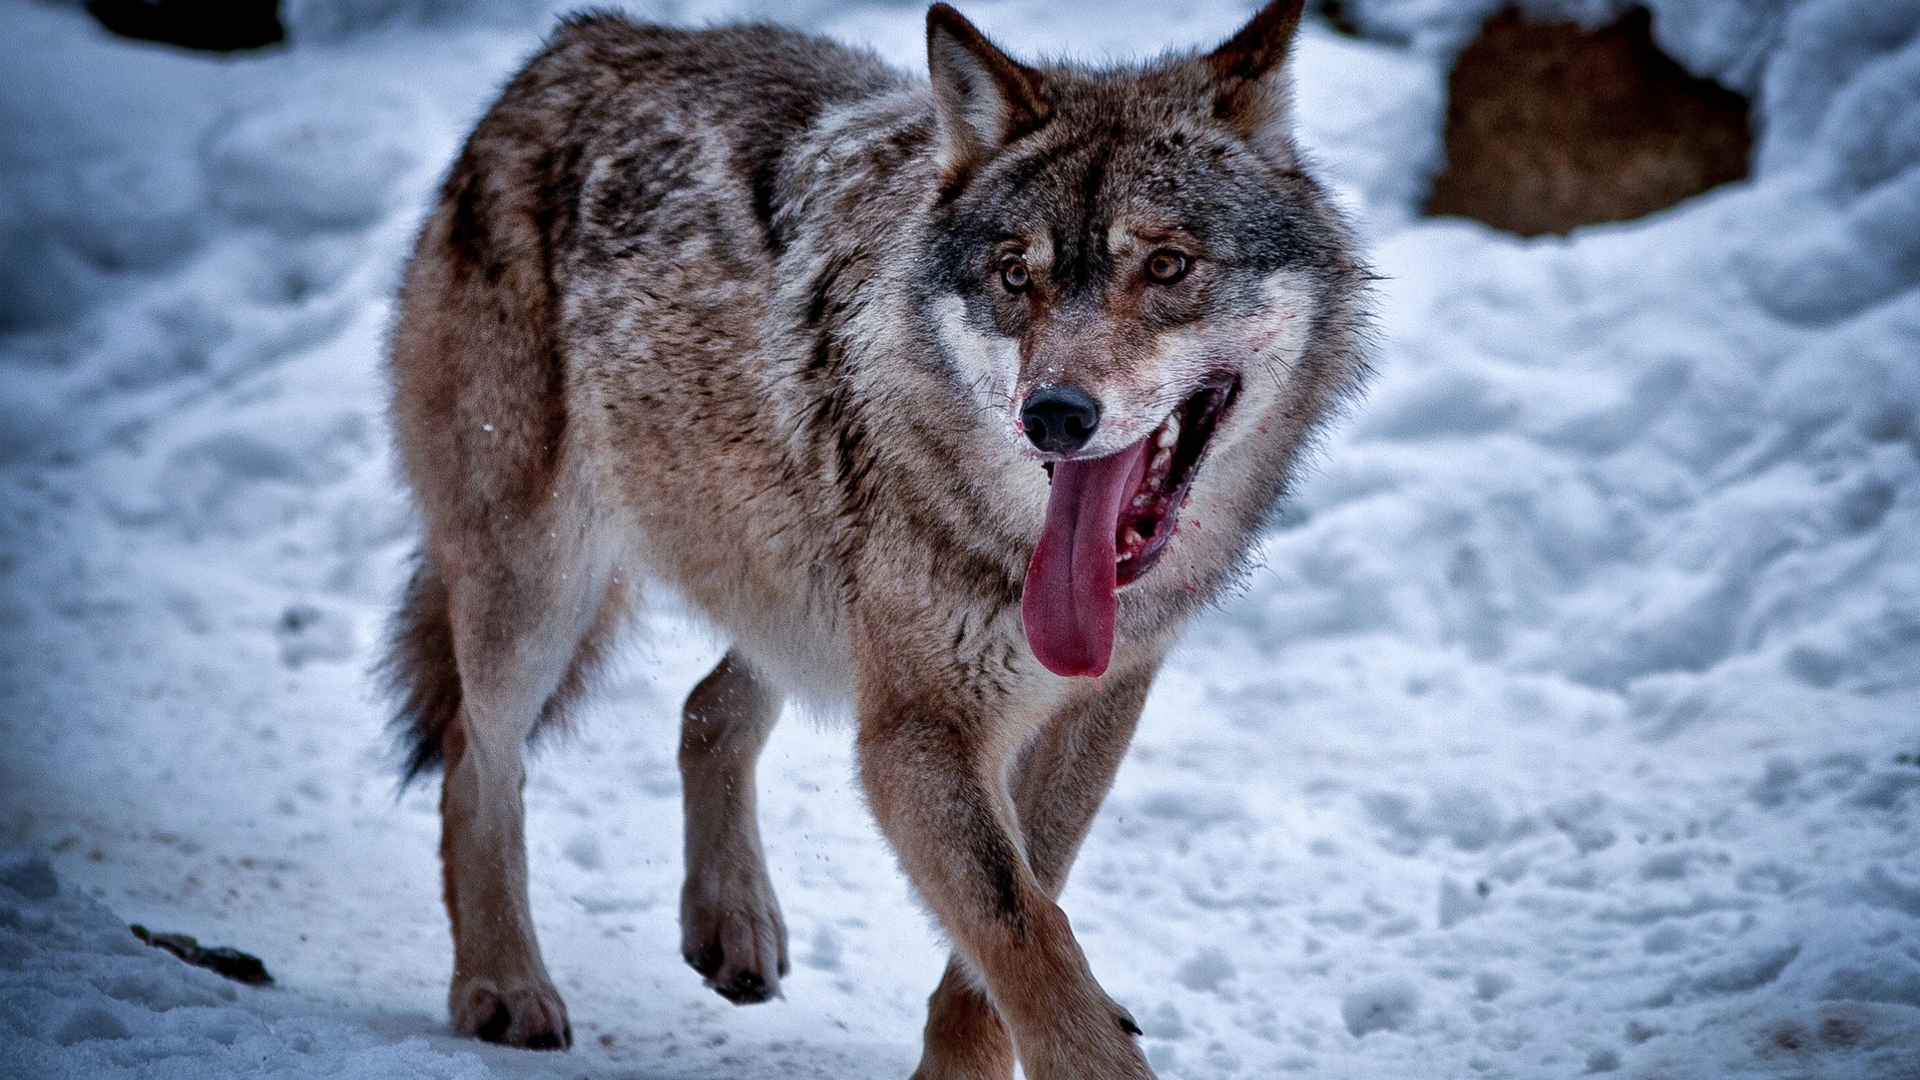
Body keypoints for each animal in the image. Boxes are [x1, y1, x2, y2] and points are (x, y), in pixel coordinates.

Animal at [385, 4, 1367, 1068]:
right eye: (1014, 275)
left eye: (1168, 266)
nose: (1054, 415)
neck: (1013, 553)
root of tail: (568, 46)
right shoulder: (917, 730)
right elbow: (1024, 928)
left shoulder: (1093, 707)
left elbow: (1014, 930)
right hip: (539, 593)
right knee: (476, 765)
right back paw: (502, 984)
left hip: (794, 587)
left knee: (704, 709)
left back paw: (732, 922)